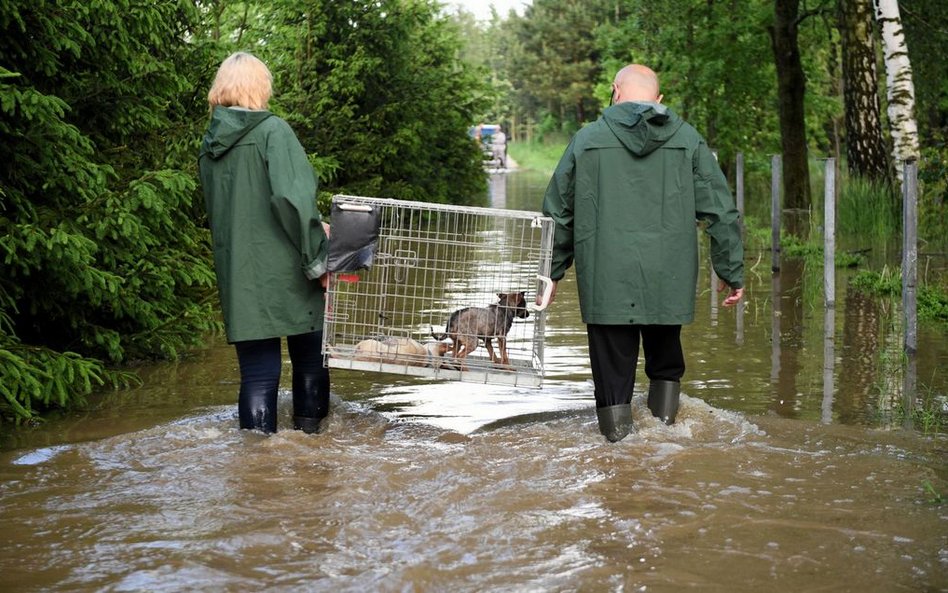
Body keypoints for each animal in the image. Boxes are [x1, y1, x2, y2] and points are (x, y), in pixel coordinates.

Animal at [324, 195, 556, 388]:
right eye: (523, 305)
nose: (528, 314)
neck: (504, 307)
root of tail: (453, 319)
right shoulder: (500, 338)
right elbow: (504, 354)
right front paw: (506, 365)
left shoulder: (489, 339)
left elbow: (492, 354)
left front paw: (498, 363)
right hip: (470, 340)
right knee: (459, 355)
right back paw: (464, 367)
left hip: (460, 339)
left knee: (455, 353)